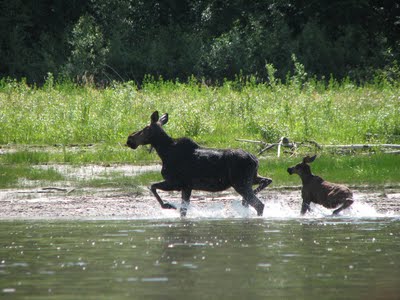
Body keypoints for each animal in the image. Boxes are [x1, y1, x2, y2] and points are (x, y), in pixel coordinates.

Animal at [126, 111, 274, 217]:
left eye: (144, 129)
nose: (129, 139)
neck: (164, 152)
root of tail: (255, 159)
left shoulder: (176, 182)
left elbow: (152, 186)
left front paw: (168, 205)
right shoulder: (186, 186)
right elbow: (183, 211)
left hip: (240, 183)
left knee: (259, 204)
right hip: (251, 178)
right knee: (267, 181)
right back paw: (244, 203)